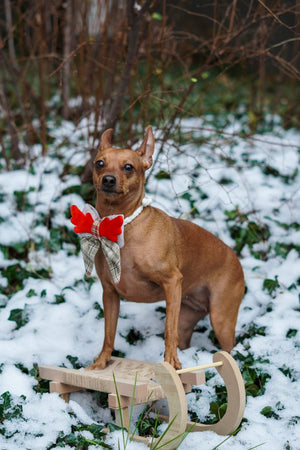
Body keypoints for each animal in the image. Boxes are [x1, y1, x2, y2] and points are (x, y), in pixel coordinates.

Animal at [88, 125, 244, 370]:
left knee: (229, 348)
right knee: (185, 338)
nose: (108, 180)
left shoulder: (172, 283)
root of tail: (235, 257)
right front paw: (101, 362)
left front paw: (171, 363)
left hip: (221, 320)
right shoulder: (110, 295)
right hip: (188, 316)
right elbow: (109, 334)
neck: (122, 224)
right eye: (100, 163)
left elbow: (169, 331)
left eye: (129, 167)